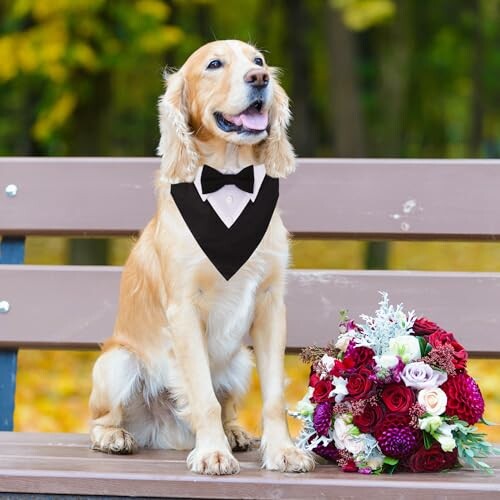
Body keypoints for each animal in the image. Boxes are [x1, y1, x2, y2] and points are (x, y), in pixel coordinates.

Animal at [87, 39, 312, 476]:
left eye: (258, 61)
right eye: (214, 65)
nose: (259, 78)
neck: (229, 181)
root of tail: (162, 432)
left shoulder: (270, 304)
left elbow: (273, 397)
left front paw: (283, 451)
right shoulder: (184, 309)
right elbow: (203, 398)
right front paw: (212, 453)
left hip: (240, 360)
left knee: (228, 406)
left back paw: (236, 433)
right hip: (116, 362)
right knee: (103, 418)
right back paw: (115, 437)